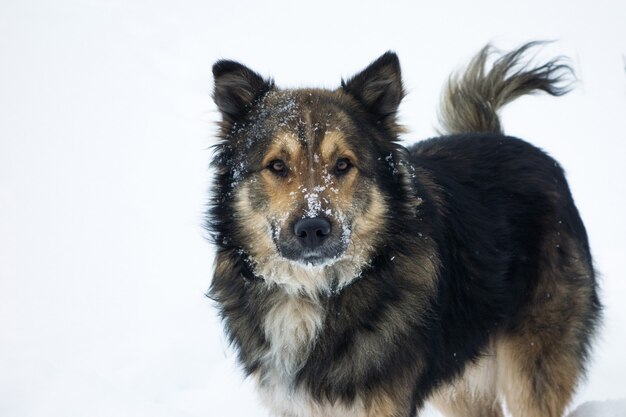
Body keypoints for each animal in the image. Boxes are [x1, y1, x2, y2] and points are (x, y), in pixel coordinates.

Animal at [206, 43, 600, 416]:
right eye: (277, 165)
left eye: (343, 164)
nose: (313, 228)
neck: (314, 293)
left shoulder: (386, 402)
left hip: (531, 370)